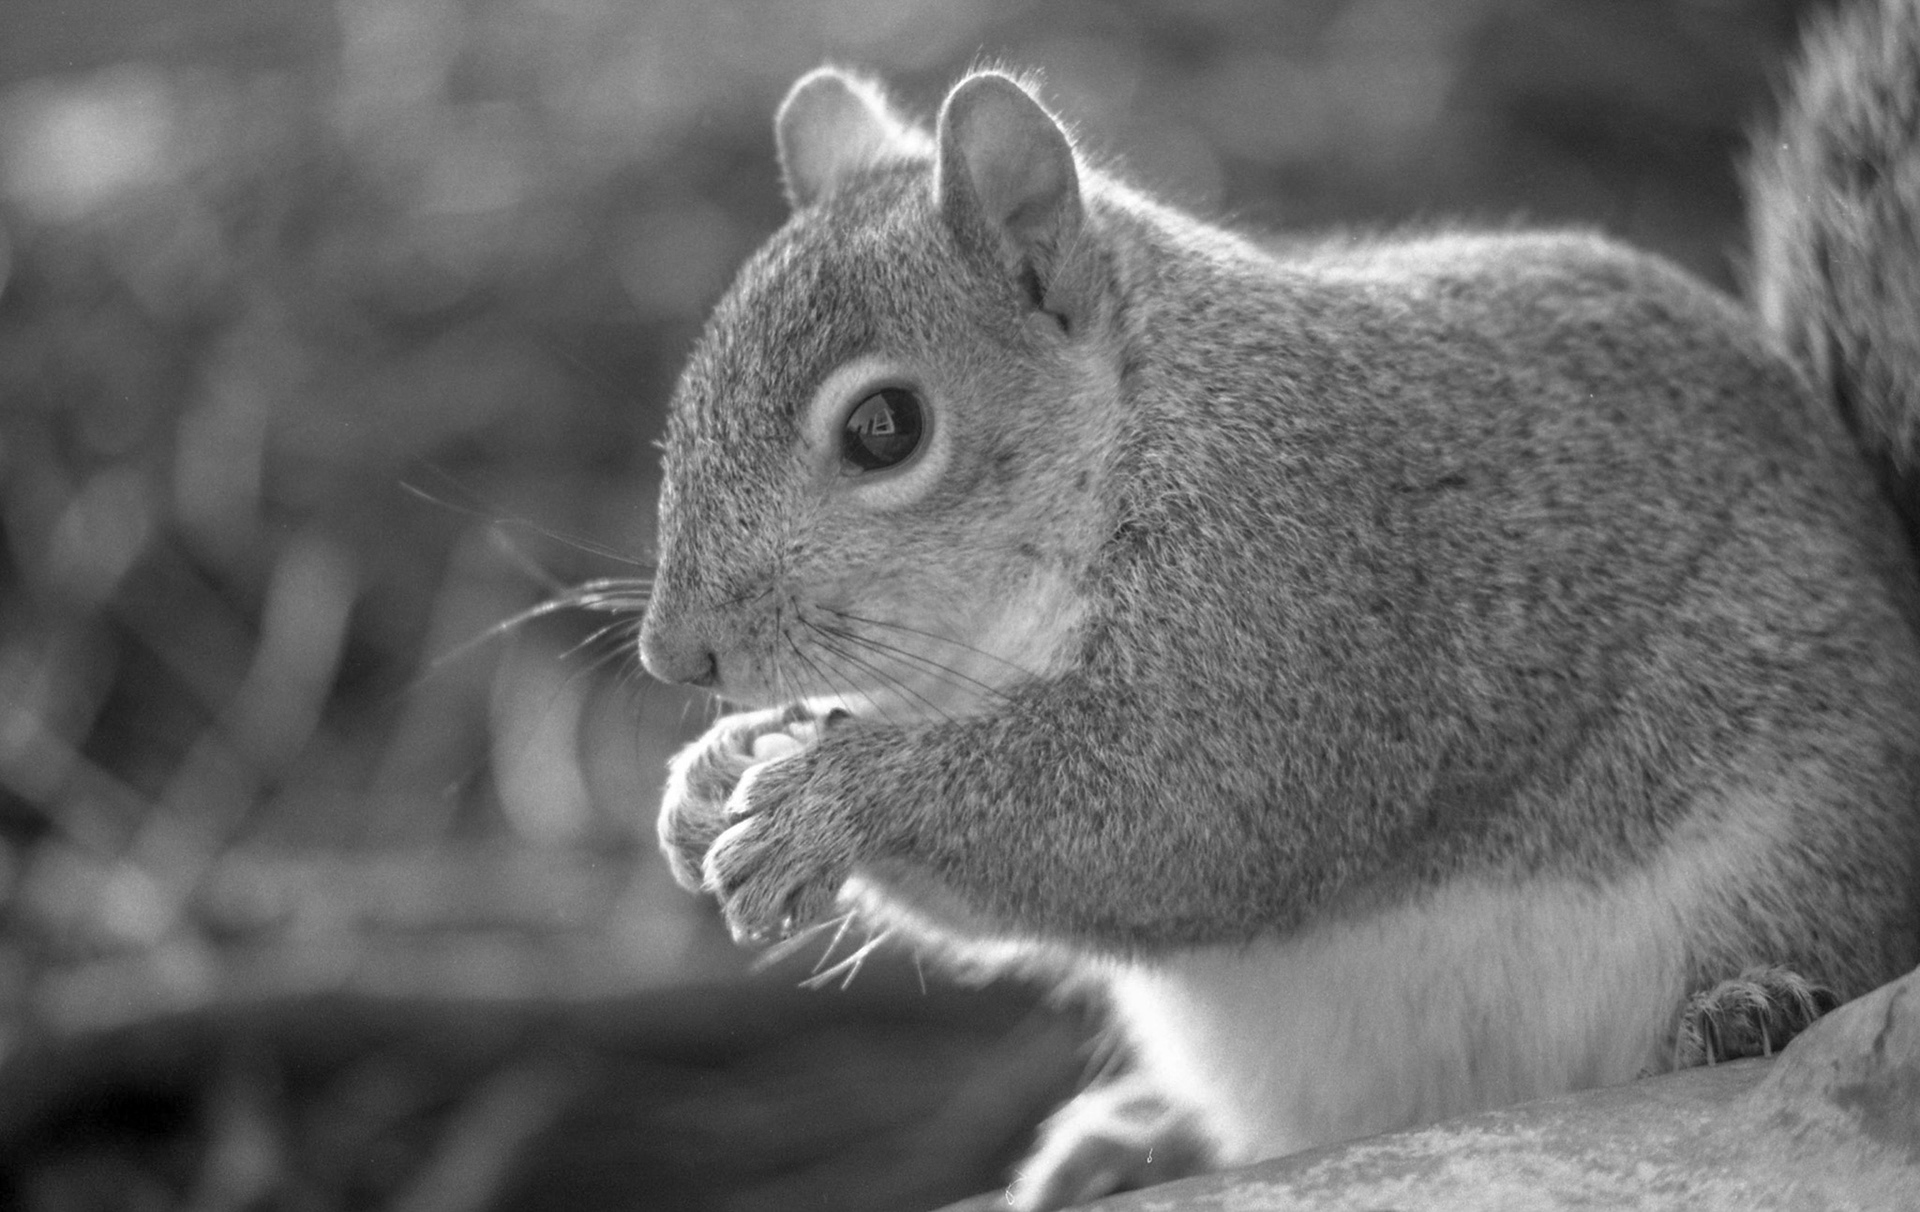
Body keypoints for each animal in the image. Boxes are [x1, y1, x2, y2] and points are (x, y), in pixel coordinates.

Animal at [637, 0, 1920, 1206]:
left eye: (884, 428)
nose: (672, 658)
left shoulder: (1290, 601)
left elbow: (1173, 814)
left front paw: (830, 795)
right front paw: (711, 776)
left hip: (1797, 846)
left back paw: (1747, 1007)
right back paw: (1126, 1142)